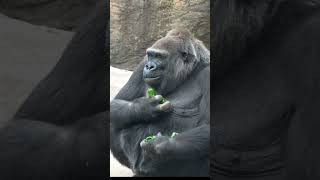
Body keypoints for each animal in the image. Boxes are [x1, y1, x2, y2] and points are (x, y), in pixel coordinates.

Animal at [110, 28, 210, 176]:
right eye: (150, 55)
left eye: (160, 57)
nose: (149, 66)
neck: (189, 71)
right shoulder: (142, 64)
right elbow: (117, 102)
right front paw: (144, 108)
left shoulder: (209, 73)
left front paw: (159, 145)